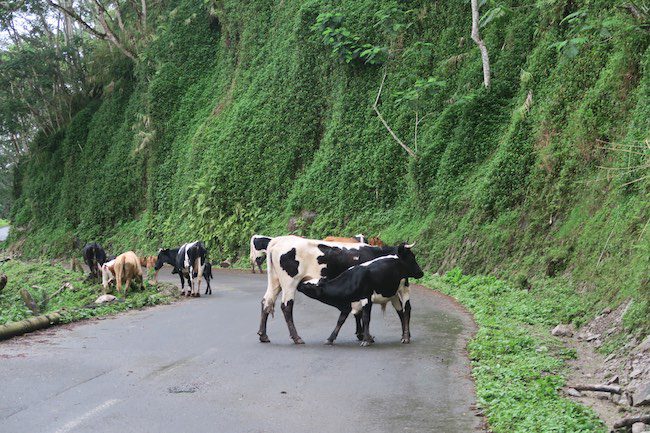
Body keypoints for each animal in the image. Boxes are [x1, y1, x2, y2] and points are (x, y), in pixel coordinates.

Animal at [256, 235, 418, 342]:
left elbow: (358, 313)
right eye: (411, 257)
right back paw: (296, 337)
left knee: (266, 301)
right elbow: (400, 310)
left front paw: (360, 334)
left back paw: (263, 335)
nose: (419, 272)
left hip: (275, 281)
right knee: (286, 306)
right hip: (290, 283)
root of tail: (279, 240)